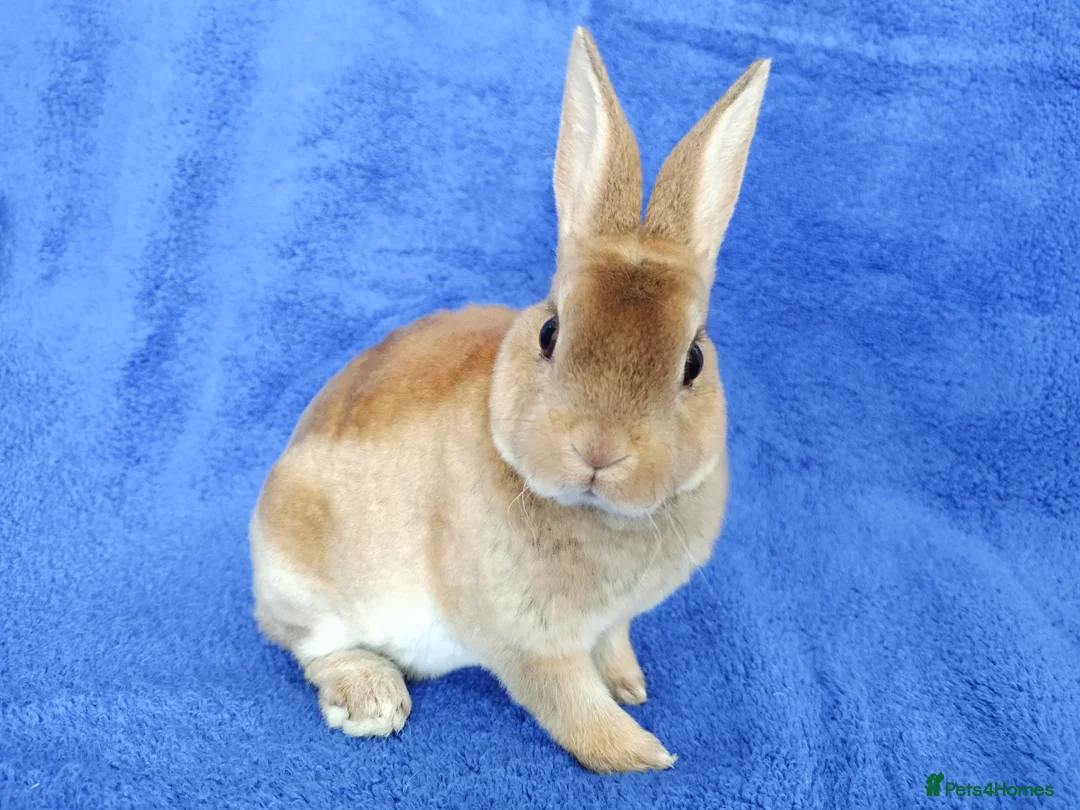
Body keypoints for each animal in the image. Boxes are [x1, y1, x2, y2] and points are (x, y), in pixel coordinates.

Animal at [250, 27, 770, 773]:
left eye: (693, 361)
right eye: (550, 332)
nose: (599, 448)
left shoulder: (610, 622)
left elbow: (612, 648)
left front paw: (632, 687)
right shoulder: (530, 644)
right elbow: (569, 705)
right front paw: (642, 754)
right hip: (304, 571)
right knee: (313, 649)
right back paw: (372, 699)